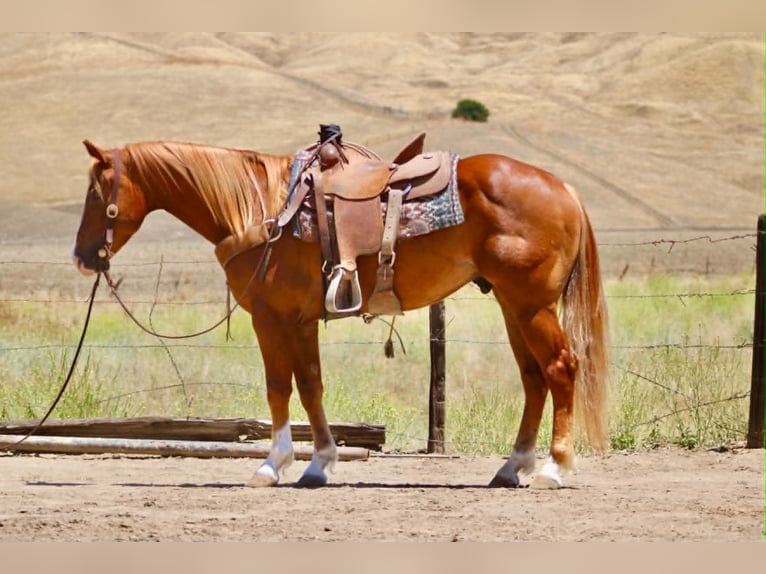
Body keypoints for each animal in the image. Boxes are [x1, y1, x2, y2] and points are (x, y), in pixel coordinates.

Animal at [72, 137, 609, 489]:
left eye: (96, 194)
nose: (81, 257)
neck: (261, 209)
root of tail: (564, 187)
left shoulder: (269, 317)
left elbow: (278, 388)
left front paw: (271, 465)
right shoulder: (300, 320)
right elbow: (310, 385)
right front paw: (319, 464)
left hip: (530, 305)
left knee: (560, 369)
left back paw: (554, 469)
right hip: (512, 305)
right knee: (533, 378)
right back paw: (511, 467)